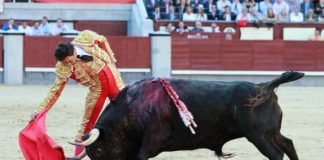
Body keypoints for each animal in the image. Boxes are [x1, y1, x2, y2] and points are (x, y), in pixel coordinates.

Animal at [76, 71, 304, 160]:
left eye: (98, 151)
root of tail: (264, 86)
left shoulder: (152, 139)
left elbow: (141, 155)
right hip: (271, 133)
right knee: (288, 144)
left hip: (258, 135)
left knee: (277, 154)